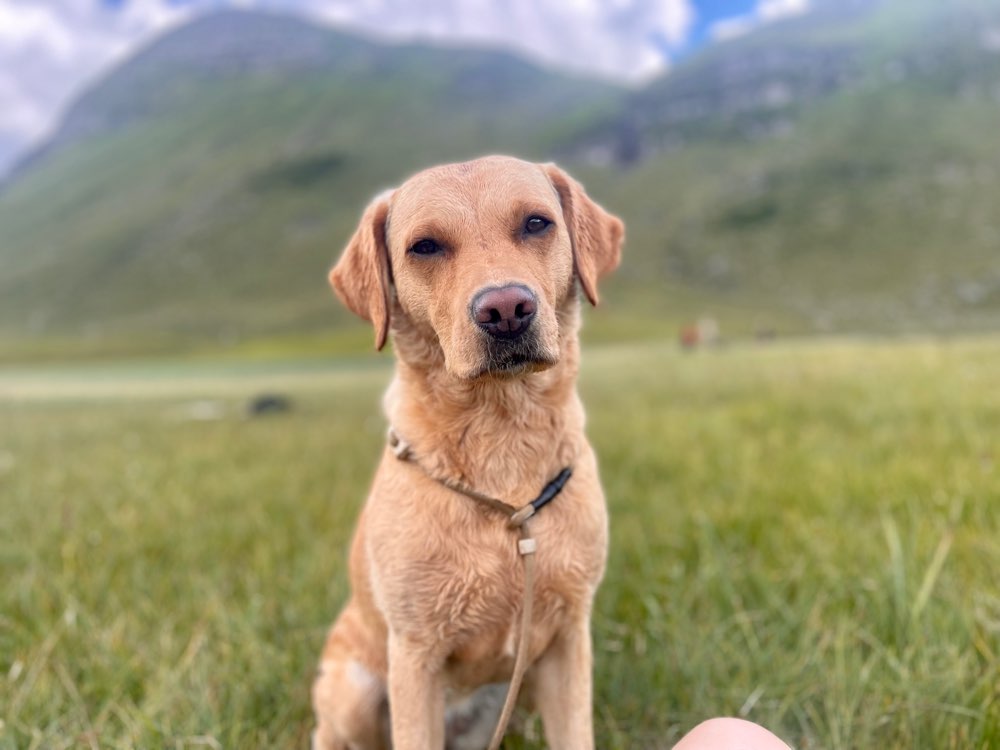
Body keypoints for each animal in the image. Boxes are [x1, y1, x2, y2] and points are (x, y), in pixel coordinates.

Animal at [312, 156, 624, 748]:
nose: (506, 309)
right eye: (425, 246)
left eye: (536, 223)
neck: (500, 437)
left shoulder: (568, 642)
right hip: (354, 690)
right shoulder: (415, 657)